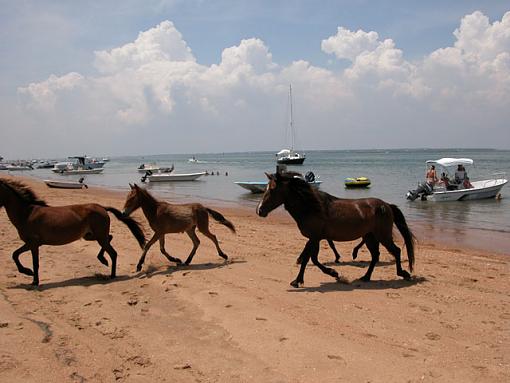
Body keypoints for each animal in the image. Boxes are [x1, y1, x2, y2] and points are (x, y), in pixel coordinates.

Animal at [0, 178, 147, 286]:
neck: (26, 214)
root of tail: (102, 207)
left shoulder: (33, 244)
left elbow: (33, 262)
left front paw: (33, 279)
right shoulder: (31, 244)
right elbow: (15, 254)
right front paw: (28, 273)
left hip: (99, 236)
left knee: (113, 252)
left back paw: (111, 274)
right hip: (91, 236)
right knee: (110, 238)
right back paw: (103, 260)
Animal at [256, 173, 416, 288]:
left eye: (272, 190)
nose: (259, 210)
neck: (313, 208)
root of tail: (386, 205)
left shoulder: (314, 238)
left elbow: (309, 259)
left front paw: (299, 281)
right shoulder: (314, 238)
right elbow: (311, 258)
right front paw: (332, 273)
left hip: (383, 235)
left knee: (396, 251)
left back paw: (403, 274)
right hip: (370, 237)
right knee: (376, 256)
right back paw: (366, 277)